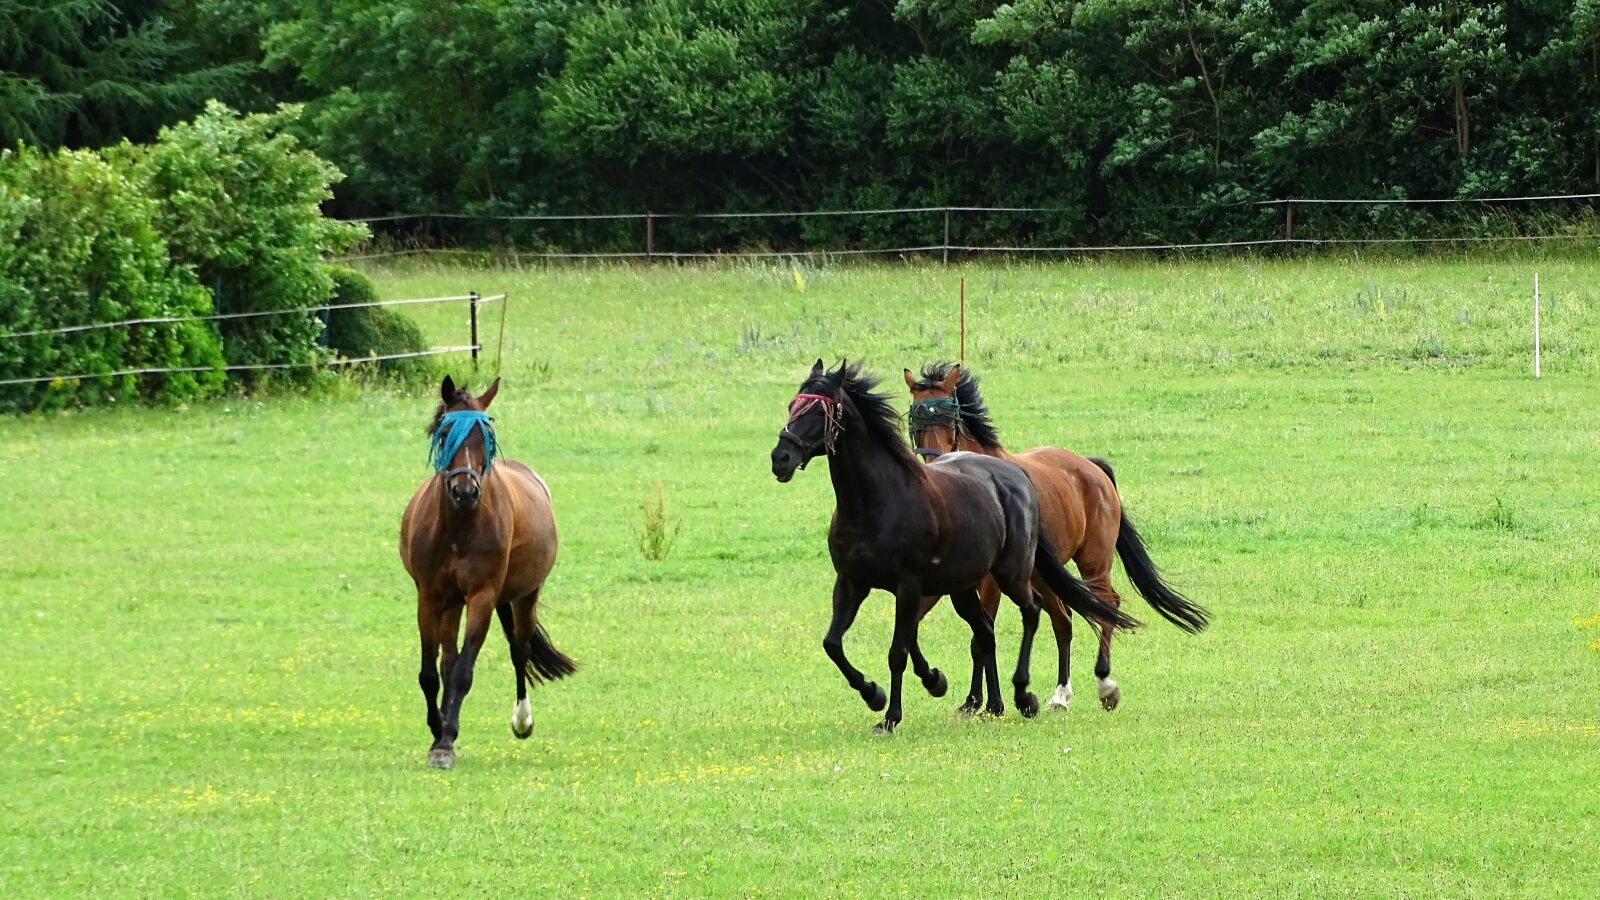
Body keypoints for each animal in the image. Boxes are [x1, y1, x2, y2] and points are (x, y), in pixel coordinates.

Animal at [399, 375, 576, 768]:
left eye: (488, 436)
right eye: (445, 432)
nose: (465, 492)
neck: (457, 527)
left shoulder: (482, 597)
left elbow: (464, 672)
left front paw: (446, 741)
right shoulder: (428, 598)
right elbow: (430, 673)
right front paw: (438, 732)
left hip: (525, 597)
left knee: (519, 650)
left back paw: (522, 720)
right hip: (452, 603)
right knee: (447, 661)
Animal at [770, 359, 1142, 733]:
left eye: (819, 410)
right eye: (791, 405)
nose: (780, 458)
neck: (875, 500)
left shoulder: (911, 585)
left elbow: (899, 651)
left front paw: (892, 715)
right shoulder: (853, 583)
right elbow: (835, 643)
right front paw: (887, 691)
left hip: (1041, 569)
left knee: (1054, 609)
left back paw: (1045, 692)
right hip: (973, 585)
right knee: (1021, 625)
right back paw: (1020, 700)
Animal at [905, 362, 1208, 713]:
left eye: (950, 417)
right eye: (915, 418)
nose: (934, 461)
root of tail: (1091, 467)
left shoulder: (990, 582)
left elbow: (981, 636)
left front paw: (984, 703)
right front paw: (969, 700)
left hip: (1092, 563)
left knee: (1107, 605)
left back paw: (1104, 683)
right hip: (1042, 575)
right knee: (1063, 620)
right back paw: (1061, 693)